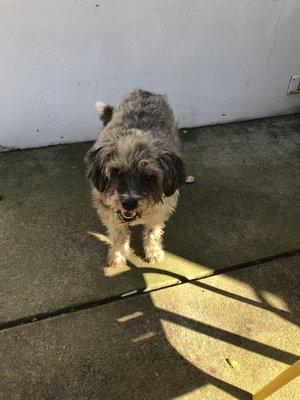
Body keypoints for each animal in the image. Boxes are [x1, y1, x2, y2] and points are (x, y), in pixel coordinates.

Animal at [85, 89, 185, 268]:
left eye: (149, 176)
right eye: (116, 172)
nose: (129, 203)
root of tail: (145, 92)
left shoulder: (160, 212)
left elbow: (153, 233)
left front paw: (153, 252)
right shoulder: (110, 214)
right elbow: (118, 236)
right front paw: (118, 255)